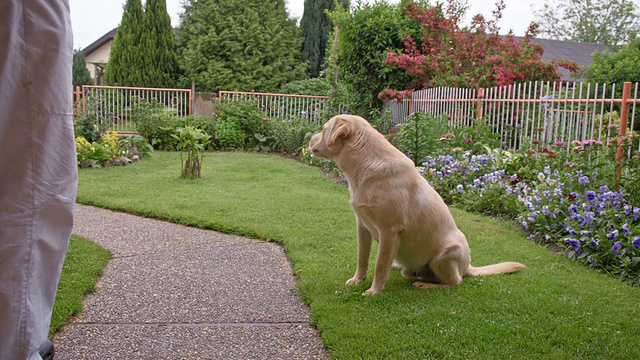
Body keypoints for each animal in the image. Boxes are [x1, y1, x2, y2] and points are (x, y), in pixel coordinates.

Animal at [310, 114, 524, 296]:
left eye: (324, 129)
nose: (310, 139)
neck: (365, 166)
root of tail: (468, 267)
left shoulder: (389, 231)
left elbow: (380, 265)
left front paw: (374, 291)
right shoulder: (362, 225)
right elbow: (362, 258)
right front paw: (358, 280)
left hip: (445, 256)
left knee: (454, 282)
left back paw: (425, 284)